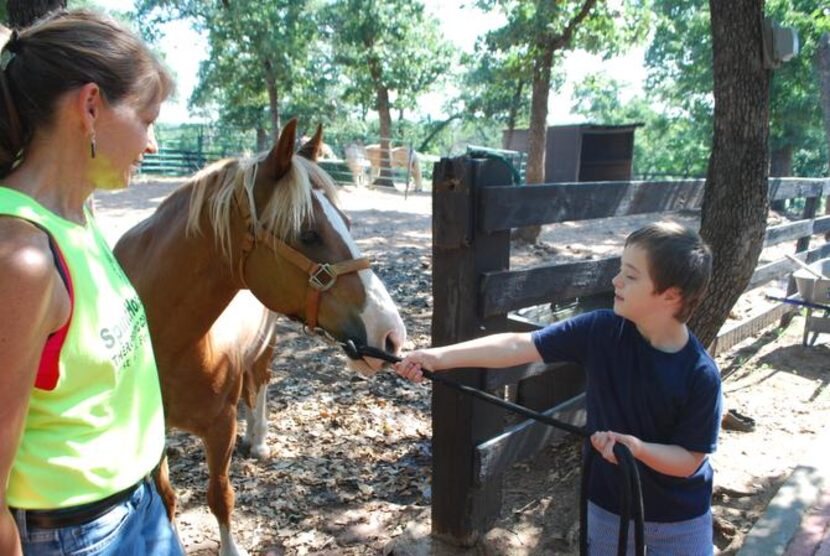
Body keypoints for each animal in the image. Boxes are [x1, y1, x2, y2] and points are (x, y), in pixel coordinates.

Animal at [113, 119, 406, 552]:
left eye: (349, 225)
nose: (390, 334)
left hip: (266, 349)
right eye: (308, 234)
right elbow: (167, 497)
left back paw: (259, 439)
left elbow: (220, 496)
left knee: (261, 387)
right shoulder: (148, 437)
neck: (168, 342)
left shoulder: (220, 427)